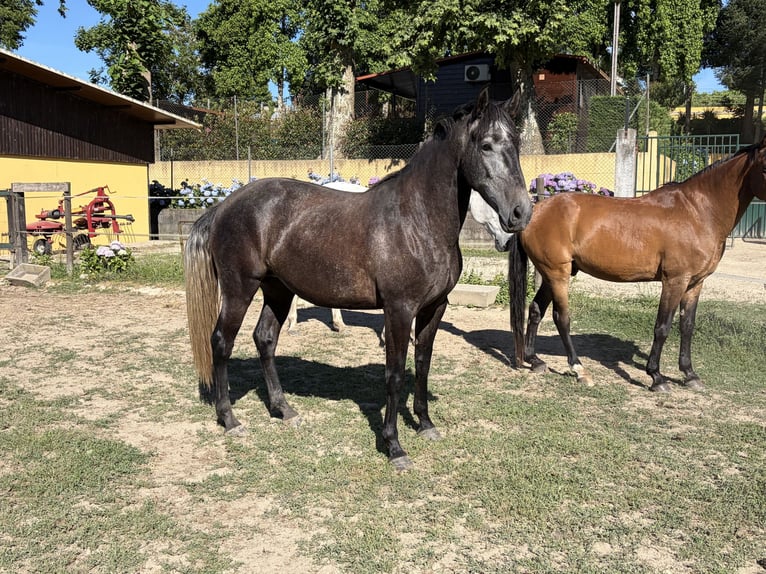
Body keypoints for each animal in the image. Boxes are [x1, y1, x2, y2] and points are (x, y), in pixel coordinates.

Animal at [509, 135, 766, 391]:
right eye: (764, 167)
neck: (697, 212)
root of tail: (536, 210)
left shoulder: (695, 283)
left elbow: (687, 327)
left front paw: (690, 375)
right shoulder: (675, 281)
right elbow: (663, 327)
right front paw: (656, 377)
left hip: (552, 274)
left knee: (535, 310)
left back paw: (535, 360)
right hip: (557, 274)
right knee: (561, 318)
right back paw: (579, 369)